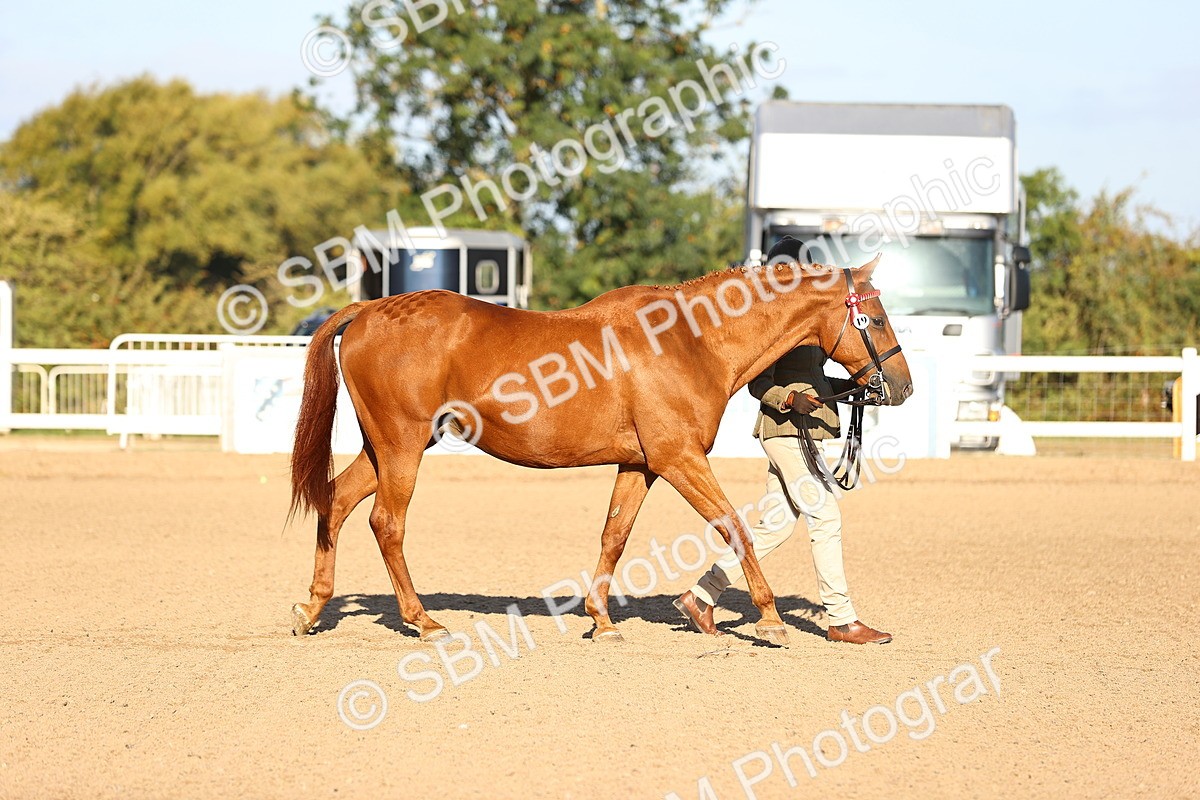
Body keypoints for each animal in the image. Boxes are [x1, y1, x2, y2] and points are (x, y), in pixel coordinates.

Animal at [288, 254, 912, 646]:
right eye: (876, 318)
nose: (901, 387)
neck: (690, 340)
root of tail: (368, 311)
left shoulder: (639, 465)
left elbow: (615, 534)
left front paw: (602, 621)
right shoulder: (678, 459)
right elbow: (734, 526)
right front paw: (771, 619)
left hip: (384, 448)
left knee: (335, 502)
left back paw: (311, 609)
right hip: (402, 446)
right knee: (386, 523)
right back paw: (423, 621)